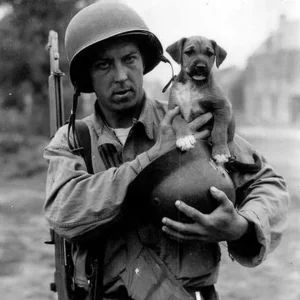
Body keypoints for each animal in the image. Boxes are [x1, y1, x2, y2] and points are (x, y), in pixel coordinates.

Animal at [166, 36, 234, 165]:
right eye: (189, 52)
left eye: (209, 53)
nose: (201, 66)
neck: (192, 85)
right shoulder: (173, 109)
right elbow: (178, 121)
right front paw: (184, 138)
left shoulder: (222, 107)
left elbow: (219, 130)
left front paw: (220, 152)